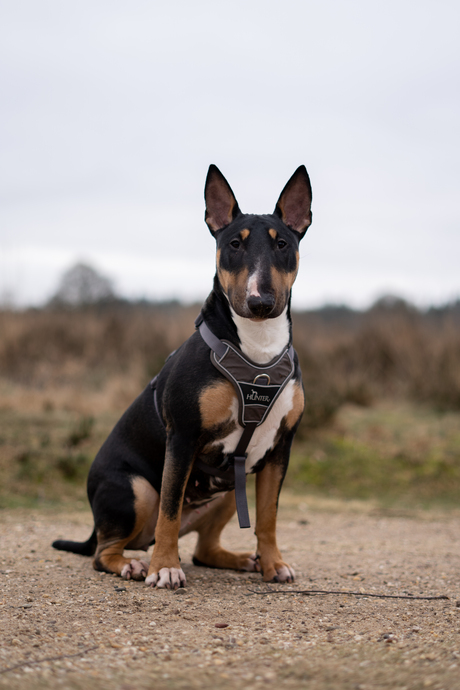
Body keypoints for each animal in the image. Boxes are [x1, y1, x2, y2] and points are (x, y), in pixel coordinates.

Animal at [53, 164, 312, 588]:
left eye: (282, 244)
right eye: (234, 244)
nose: (260, 301)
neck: (255, 351)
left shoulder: (279, 449)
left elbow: (268, 517)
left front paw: (274, 564)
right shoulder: (183, 438)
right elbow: (170, 509)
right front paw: (164, 568)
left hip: (230, 489)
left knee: (204, 550)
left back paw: (241, 559)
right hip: (137, 490)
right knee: (106, 550)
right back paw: (134, 563)